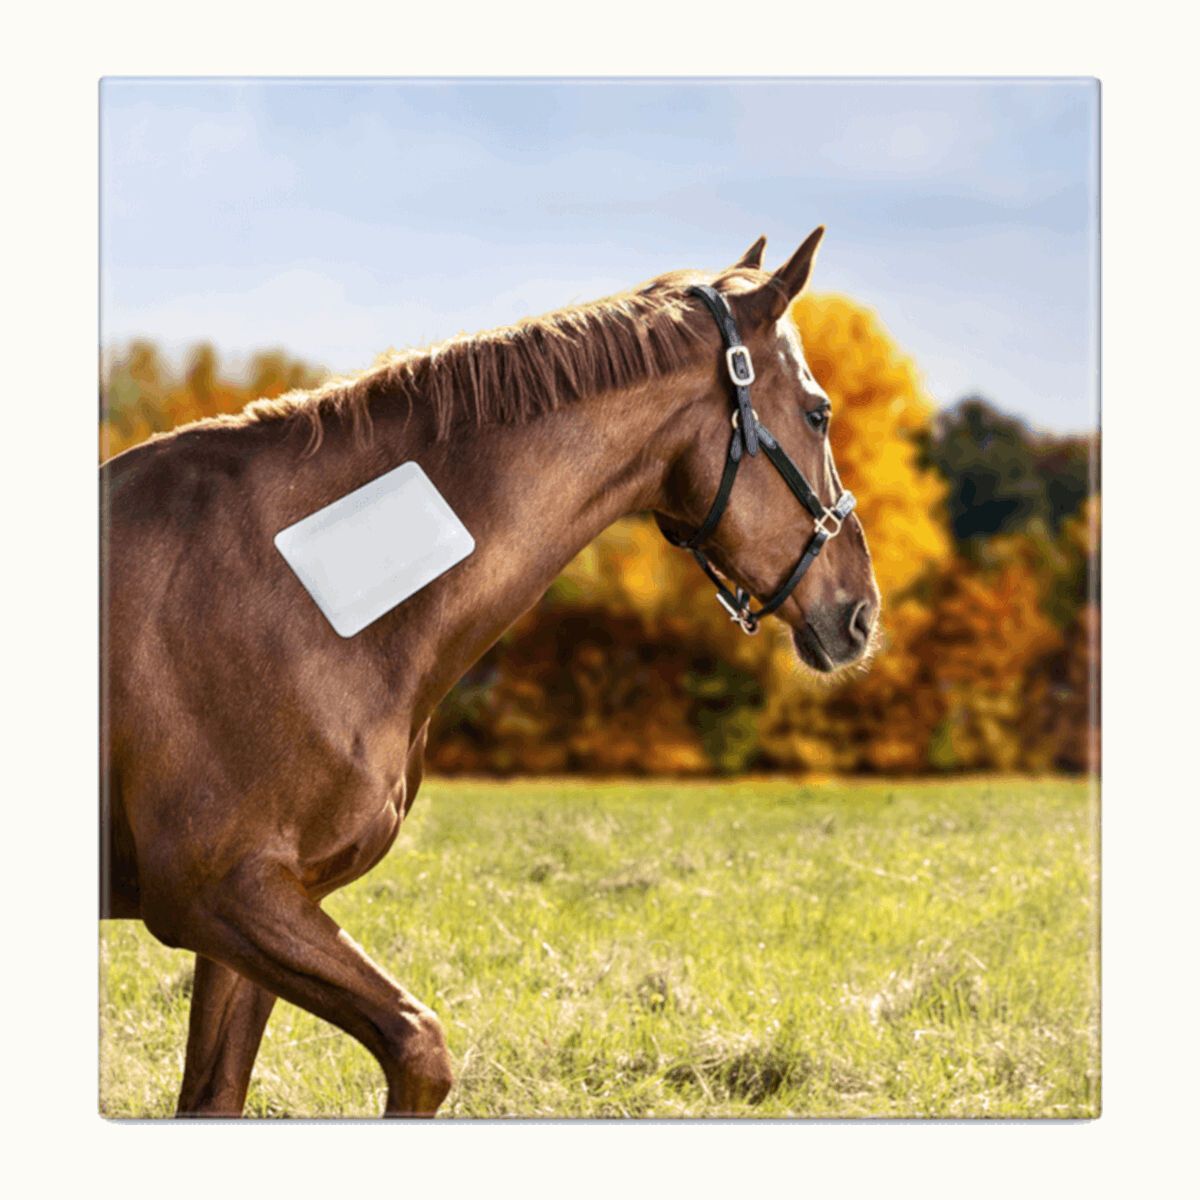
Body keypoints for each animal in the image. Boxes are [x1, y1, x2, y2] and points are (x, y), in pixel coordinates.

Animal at [100, 229, 881, 1117]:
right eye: (819, 412)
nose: (861, 611)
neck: (300, 593)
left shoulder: (260, 910)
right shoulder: (220, 893)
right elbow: (421, 1050)